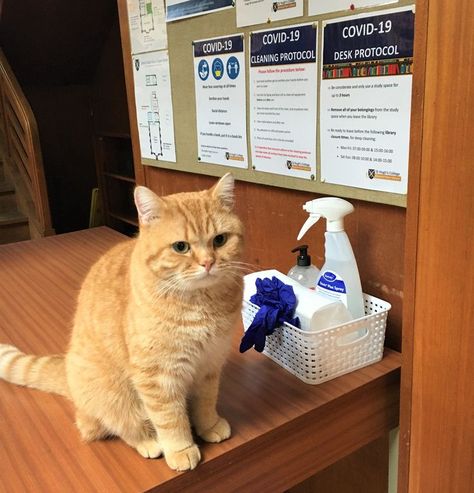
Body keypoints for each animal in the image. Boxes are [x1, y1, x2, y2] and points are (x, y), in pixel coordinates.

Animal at [0, 172, 244, 468]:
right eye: (181, 247)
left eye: (219, 240)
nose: (208, 263)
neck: (202, 304)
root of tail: (68, 372)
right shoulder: (157, 376)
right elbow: (170, 418)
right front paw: (180, 448)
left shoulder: (210, 364)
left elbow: (206, 402)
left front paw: (208, 425)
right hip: (113, 395)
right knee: (113, 426)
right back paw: (149, 442)